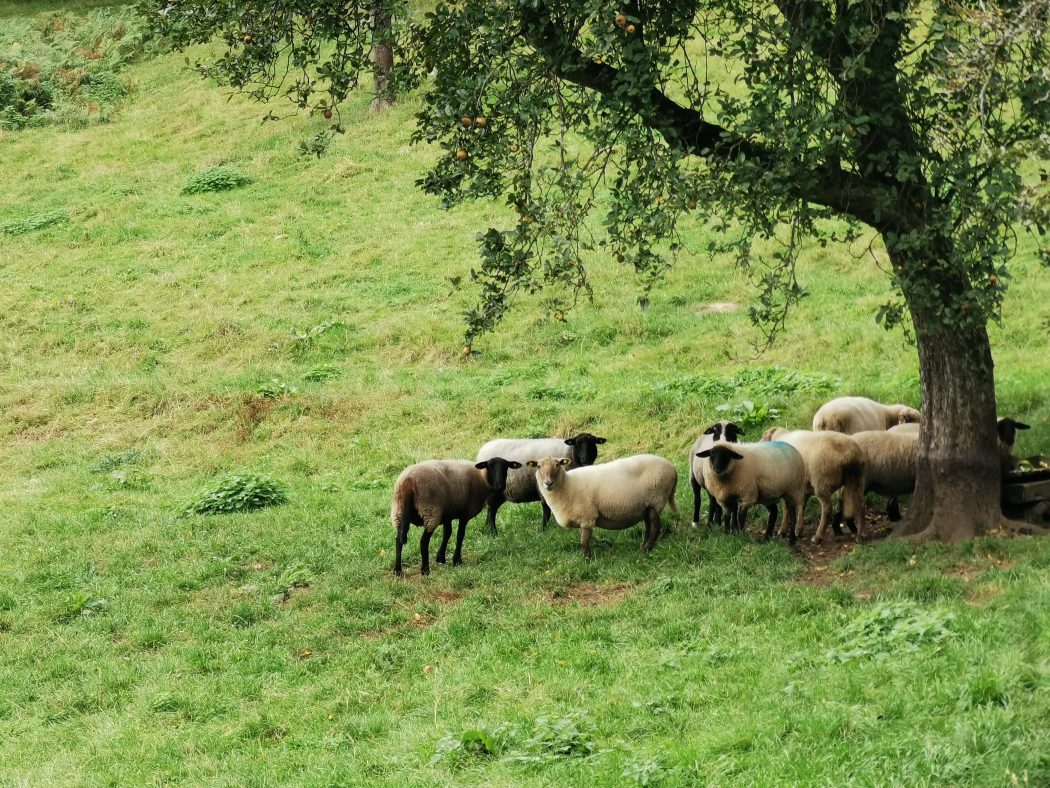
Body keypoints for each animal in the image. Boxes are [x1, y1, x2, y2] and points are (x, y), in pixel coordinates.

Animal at [392, 455, 522, 579]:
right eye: (489, 466)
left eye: (506, 467)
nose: (501, 485)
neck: (482, 478)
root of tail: (408, 483)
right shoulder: (465, 513)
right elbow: (460, 535)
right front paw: (457, 561)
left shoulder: (447, 514)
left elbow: (447, 534)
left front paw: (441, 558)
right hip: (430, 512)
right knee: (424, 541)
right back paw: (425, 570)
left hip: (398, 512)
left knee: (398, 541)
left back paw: (397, 571)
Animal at [476, 432, 609, 537]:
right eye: (577, 443)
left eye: (593, 443)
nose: (585, 459)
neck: (570, 453)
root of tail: (481, 451)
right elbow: (547, 511)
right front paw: (543, 531)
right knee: (491, 512)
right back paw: (494, 533)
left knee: (490, 511)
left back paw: (488, 531)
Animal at [525, 453, 680, 558]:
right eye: (538, 466)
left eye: (557, 465)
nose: (548, 483)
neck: (567, 485)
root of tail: (672, 467)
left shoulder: (587, 517)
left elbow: (584, 543)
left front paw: (587, 561)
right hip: (647, 504)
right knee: (649, 526)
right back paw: (644, 547)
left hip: (657, 498)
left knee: (655, 527)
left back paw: (645, 551)